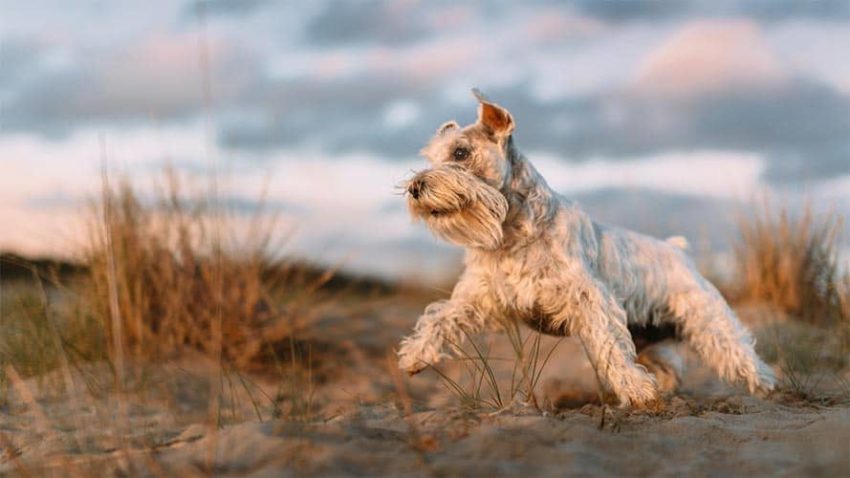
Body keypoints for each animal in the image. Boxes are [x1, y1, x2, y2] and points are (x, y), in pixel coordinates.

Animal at [394, 89, 772, 408]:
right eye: (431, 156)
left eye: (460, 152)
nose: (415, 187)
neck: (512, 234)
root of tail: (677, 250)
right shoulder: (480, 298)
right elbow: (440, 318)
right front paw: (416, 355)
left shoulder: (590, 301)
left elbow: (610, 348)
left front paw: (635, 390)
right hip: (649, 339)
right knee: (671, 366)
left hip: (707, 319)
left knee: (741, 355)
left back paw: (767, 389)